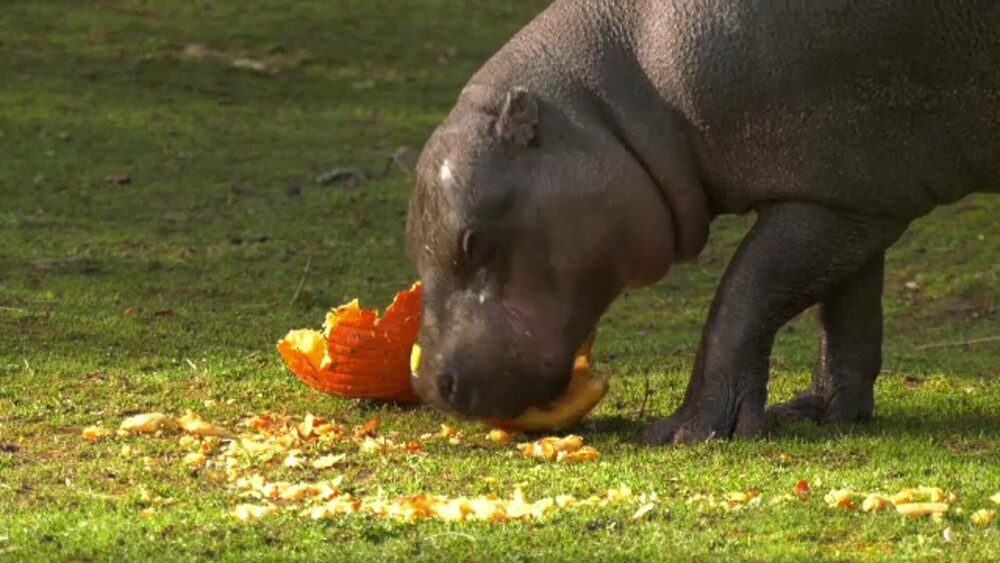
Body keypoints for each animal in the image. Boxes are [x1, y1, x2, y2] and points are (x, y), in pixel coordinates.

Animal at [406, 0, 1000, 446]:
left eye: (473, 241)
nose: (432, 386)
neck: (613, 112)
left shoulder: (834, 192)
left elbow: (745, 296)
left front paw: (687, 433)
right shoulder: (849, 192)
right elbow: (845, 313)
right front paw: (818, 413)